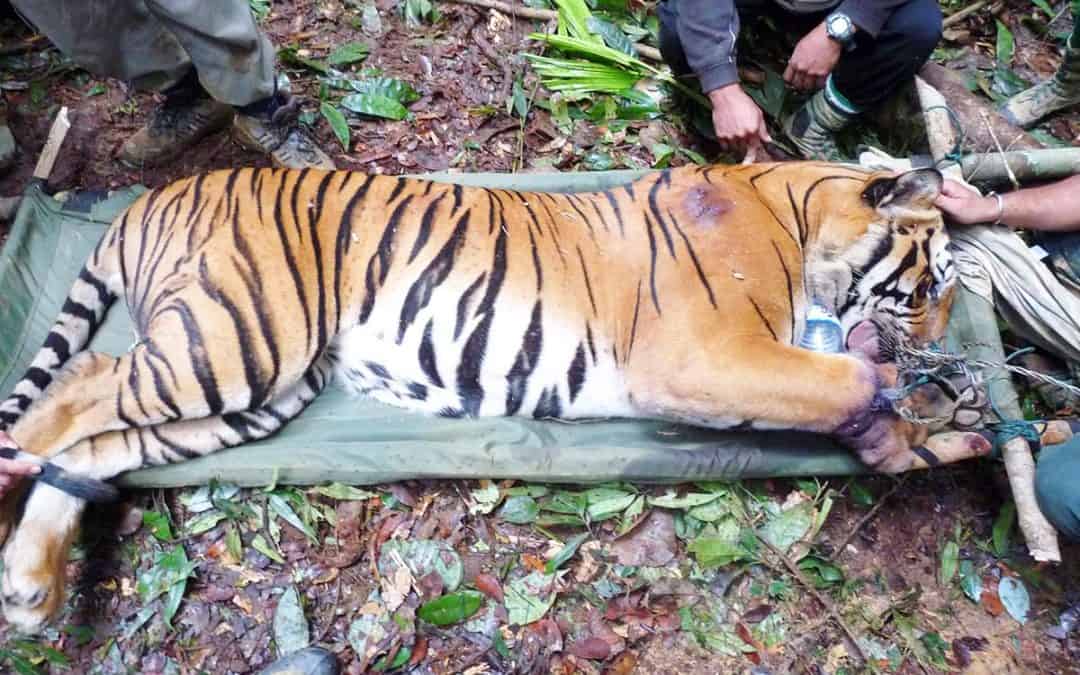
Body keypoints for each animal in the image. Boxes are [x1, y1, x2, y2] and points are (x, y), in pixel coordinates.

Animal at [0, 161, 990, 632]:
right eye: (934, 283)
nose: (945, 344)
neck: (797, 210)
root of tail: (143, 199)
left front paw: (935, 430)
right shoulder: (704, 352)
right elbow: (841, 378)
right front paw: (905, 399)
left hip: (256, 388)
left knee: (99, 445)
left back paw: (31, 586)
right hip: (236, 337)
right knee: (77, 389)